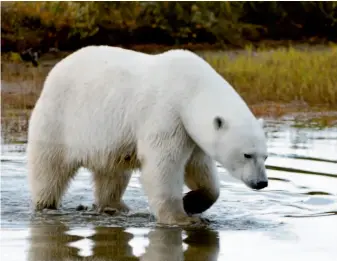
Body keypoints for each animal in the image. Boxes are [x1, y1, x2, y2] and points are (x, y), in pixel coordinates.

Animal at [26, 45, 268, 224]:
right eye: (247, 154)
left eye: (265, 156)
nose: (262, 182)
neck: (191, 89)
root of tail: (56, 68)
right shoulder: (167, 115)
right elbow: (163, 166)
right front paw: (180, 218)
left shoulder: (191, 133)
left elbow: (199, 168)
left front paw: (192, 202)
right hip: (60, 118)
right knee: (50, 168)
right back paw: (47, 205)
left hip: (110, 137)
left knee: (112, 172)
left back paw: (116, 206)